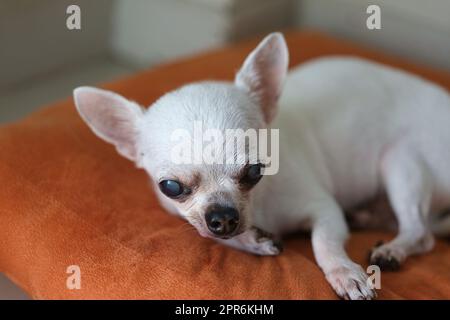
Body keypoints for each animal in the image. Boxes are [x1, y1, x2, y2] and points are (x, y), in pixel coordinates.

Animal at [73, 33, 450, 298]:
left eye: (255, 171)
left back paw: (393, 248)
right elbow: (212, 235)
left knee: (422, 232)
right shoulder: (193, 221)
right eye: (171, 187)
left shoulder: (325, 210)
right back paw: (368, 216)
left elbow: (324, 243)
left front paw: (344, 273)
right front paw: (253, 241)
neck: (260, 207)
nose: (223, 216)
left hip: (400, 161)